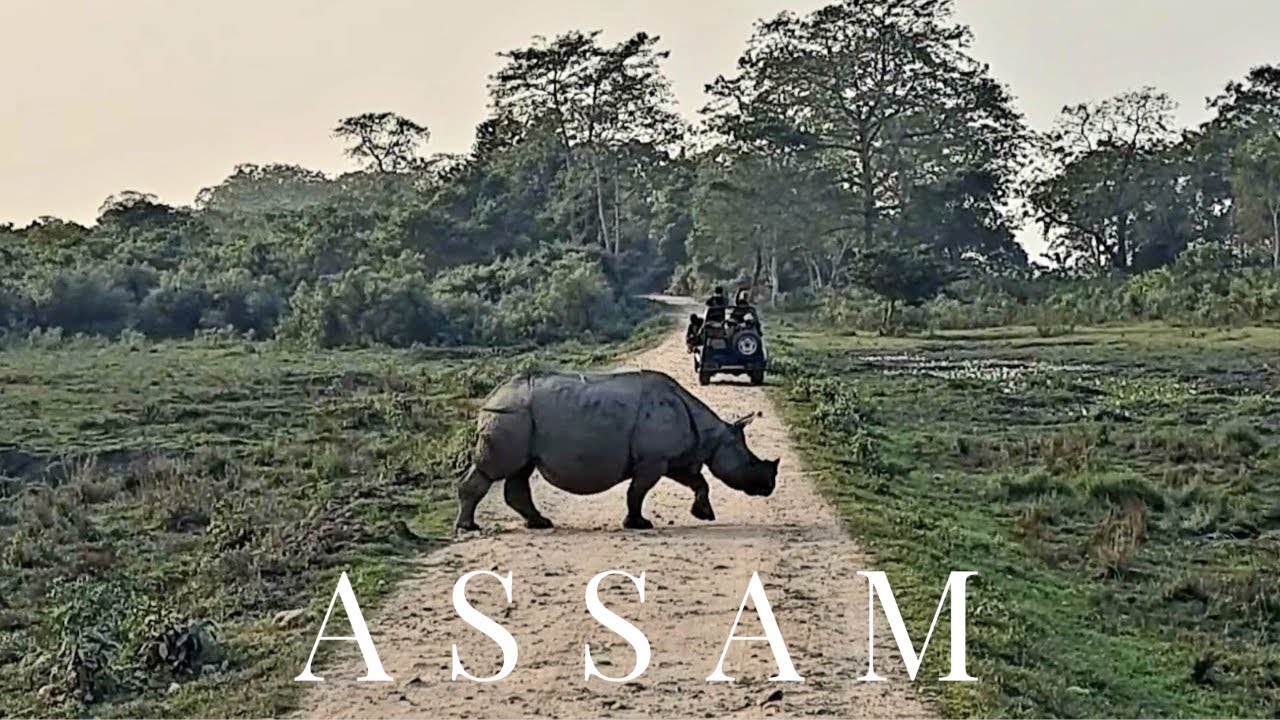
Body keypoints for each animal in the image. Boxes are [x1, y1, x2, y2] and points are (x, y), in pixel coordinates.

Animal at [455, 369, 779, 532]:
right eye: (751, 462)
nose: (770, 487)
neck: (714, 436)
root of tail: (492, 395)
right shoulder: (653, 460)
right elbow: (637, 492)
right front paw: (639, 525)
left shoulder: (673, 459)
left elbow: (698, 482)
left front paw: (704, 515)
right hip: (511, 414)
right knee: (494, 470)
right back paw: (469, 528)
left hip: (518, 417)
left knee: (520, 471)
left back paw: (540, 524)